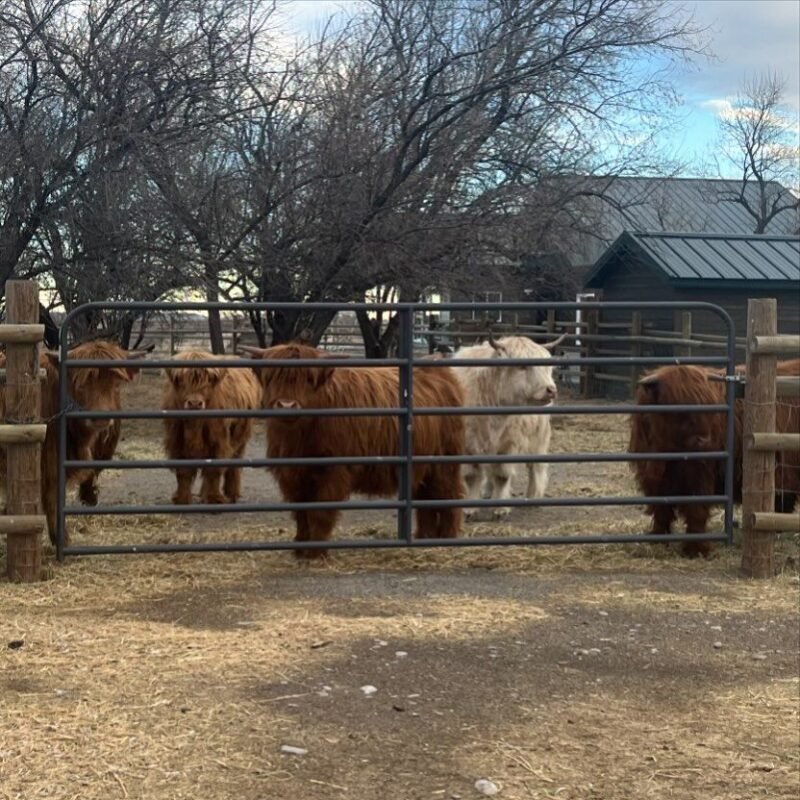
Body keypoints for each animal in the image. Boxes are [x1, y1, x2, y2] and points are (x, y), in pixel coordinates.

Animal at [0, 340, 147, 545]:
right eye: (81, 384)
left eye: (116, 383)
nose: (101, 418)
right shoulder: (49, 464)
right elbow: (52, 499)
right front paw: (61, 538)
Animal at [162, 351, 261, 505]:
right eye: (182, 381)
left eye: (207, 382)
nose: (195, 403)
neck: (194, 428)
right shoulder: (176, 441)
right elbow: (183, 472)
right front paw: (181, 498)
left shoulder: (219, 441)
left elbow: (215, 470)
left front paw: (215, 498)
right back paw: (203, 494)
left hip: (241, 437)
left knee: (234, 464)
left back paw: (231, 494)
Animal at [243, 342, 465, 558]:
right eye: (272, 376)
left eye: (308, 379)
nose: (286, 405)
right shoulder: (292, 475)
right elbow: (301, 511)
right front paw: (300, 546)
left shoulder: (333, 471)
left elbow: (321, 511)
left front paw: (316, 551)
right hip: (422, 467)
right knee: (425, 500)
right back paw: (424, 537)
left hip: (444, 463)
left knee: (449, 495)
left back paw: (447, 537)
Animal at [450, 334, 565, 519]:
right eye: (522, 366)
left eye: (547, 366)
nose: (551, 390)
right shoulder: (468, 444)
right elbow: (472, 475)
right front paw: (470, 509)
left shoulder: (508, 444)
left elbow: (502, 475)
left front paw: (501, 509)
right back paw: (487, 491)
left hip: (538, 439)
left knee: (535, 467)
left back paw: (533, 496)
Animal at [630, 360, 800, 558]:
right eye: (677, 406)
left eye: (707, 405)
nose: (704, 440)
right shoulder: (654, 478)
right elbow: (661, 509)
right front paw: (657, 538)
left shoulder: (699, 475)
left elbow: (696, 510)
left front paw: (696, 549)